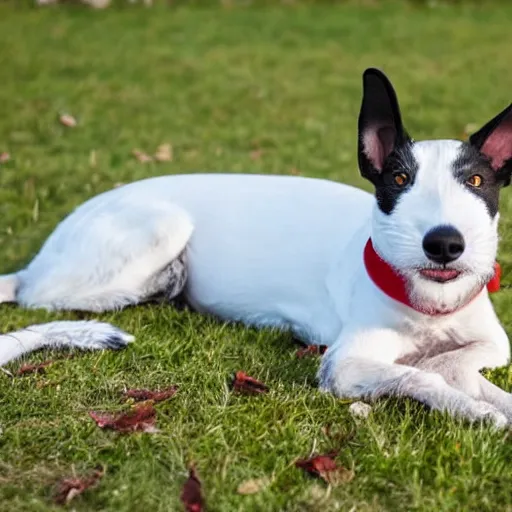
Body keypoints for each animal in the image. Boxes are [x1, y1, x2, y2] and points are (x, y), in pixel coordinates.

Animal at [1, 69, 512, 428]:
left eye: (476, 181)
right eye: (400, 179)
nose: (444, 243)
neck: (431, 305)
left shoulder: (492, 340)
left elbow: (463, 359)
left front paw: (476, 388)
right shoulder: (342, 365)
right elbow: (422, 373)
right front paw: (473, 407)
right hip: (156, 235)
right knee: (34, 295)